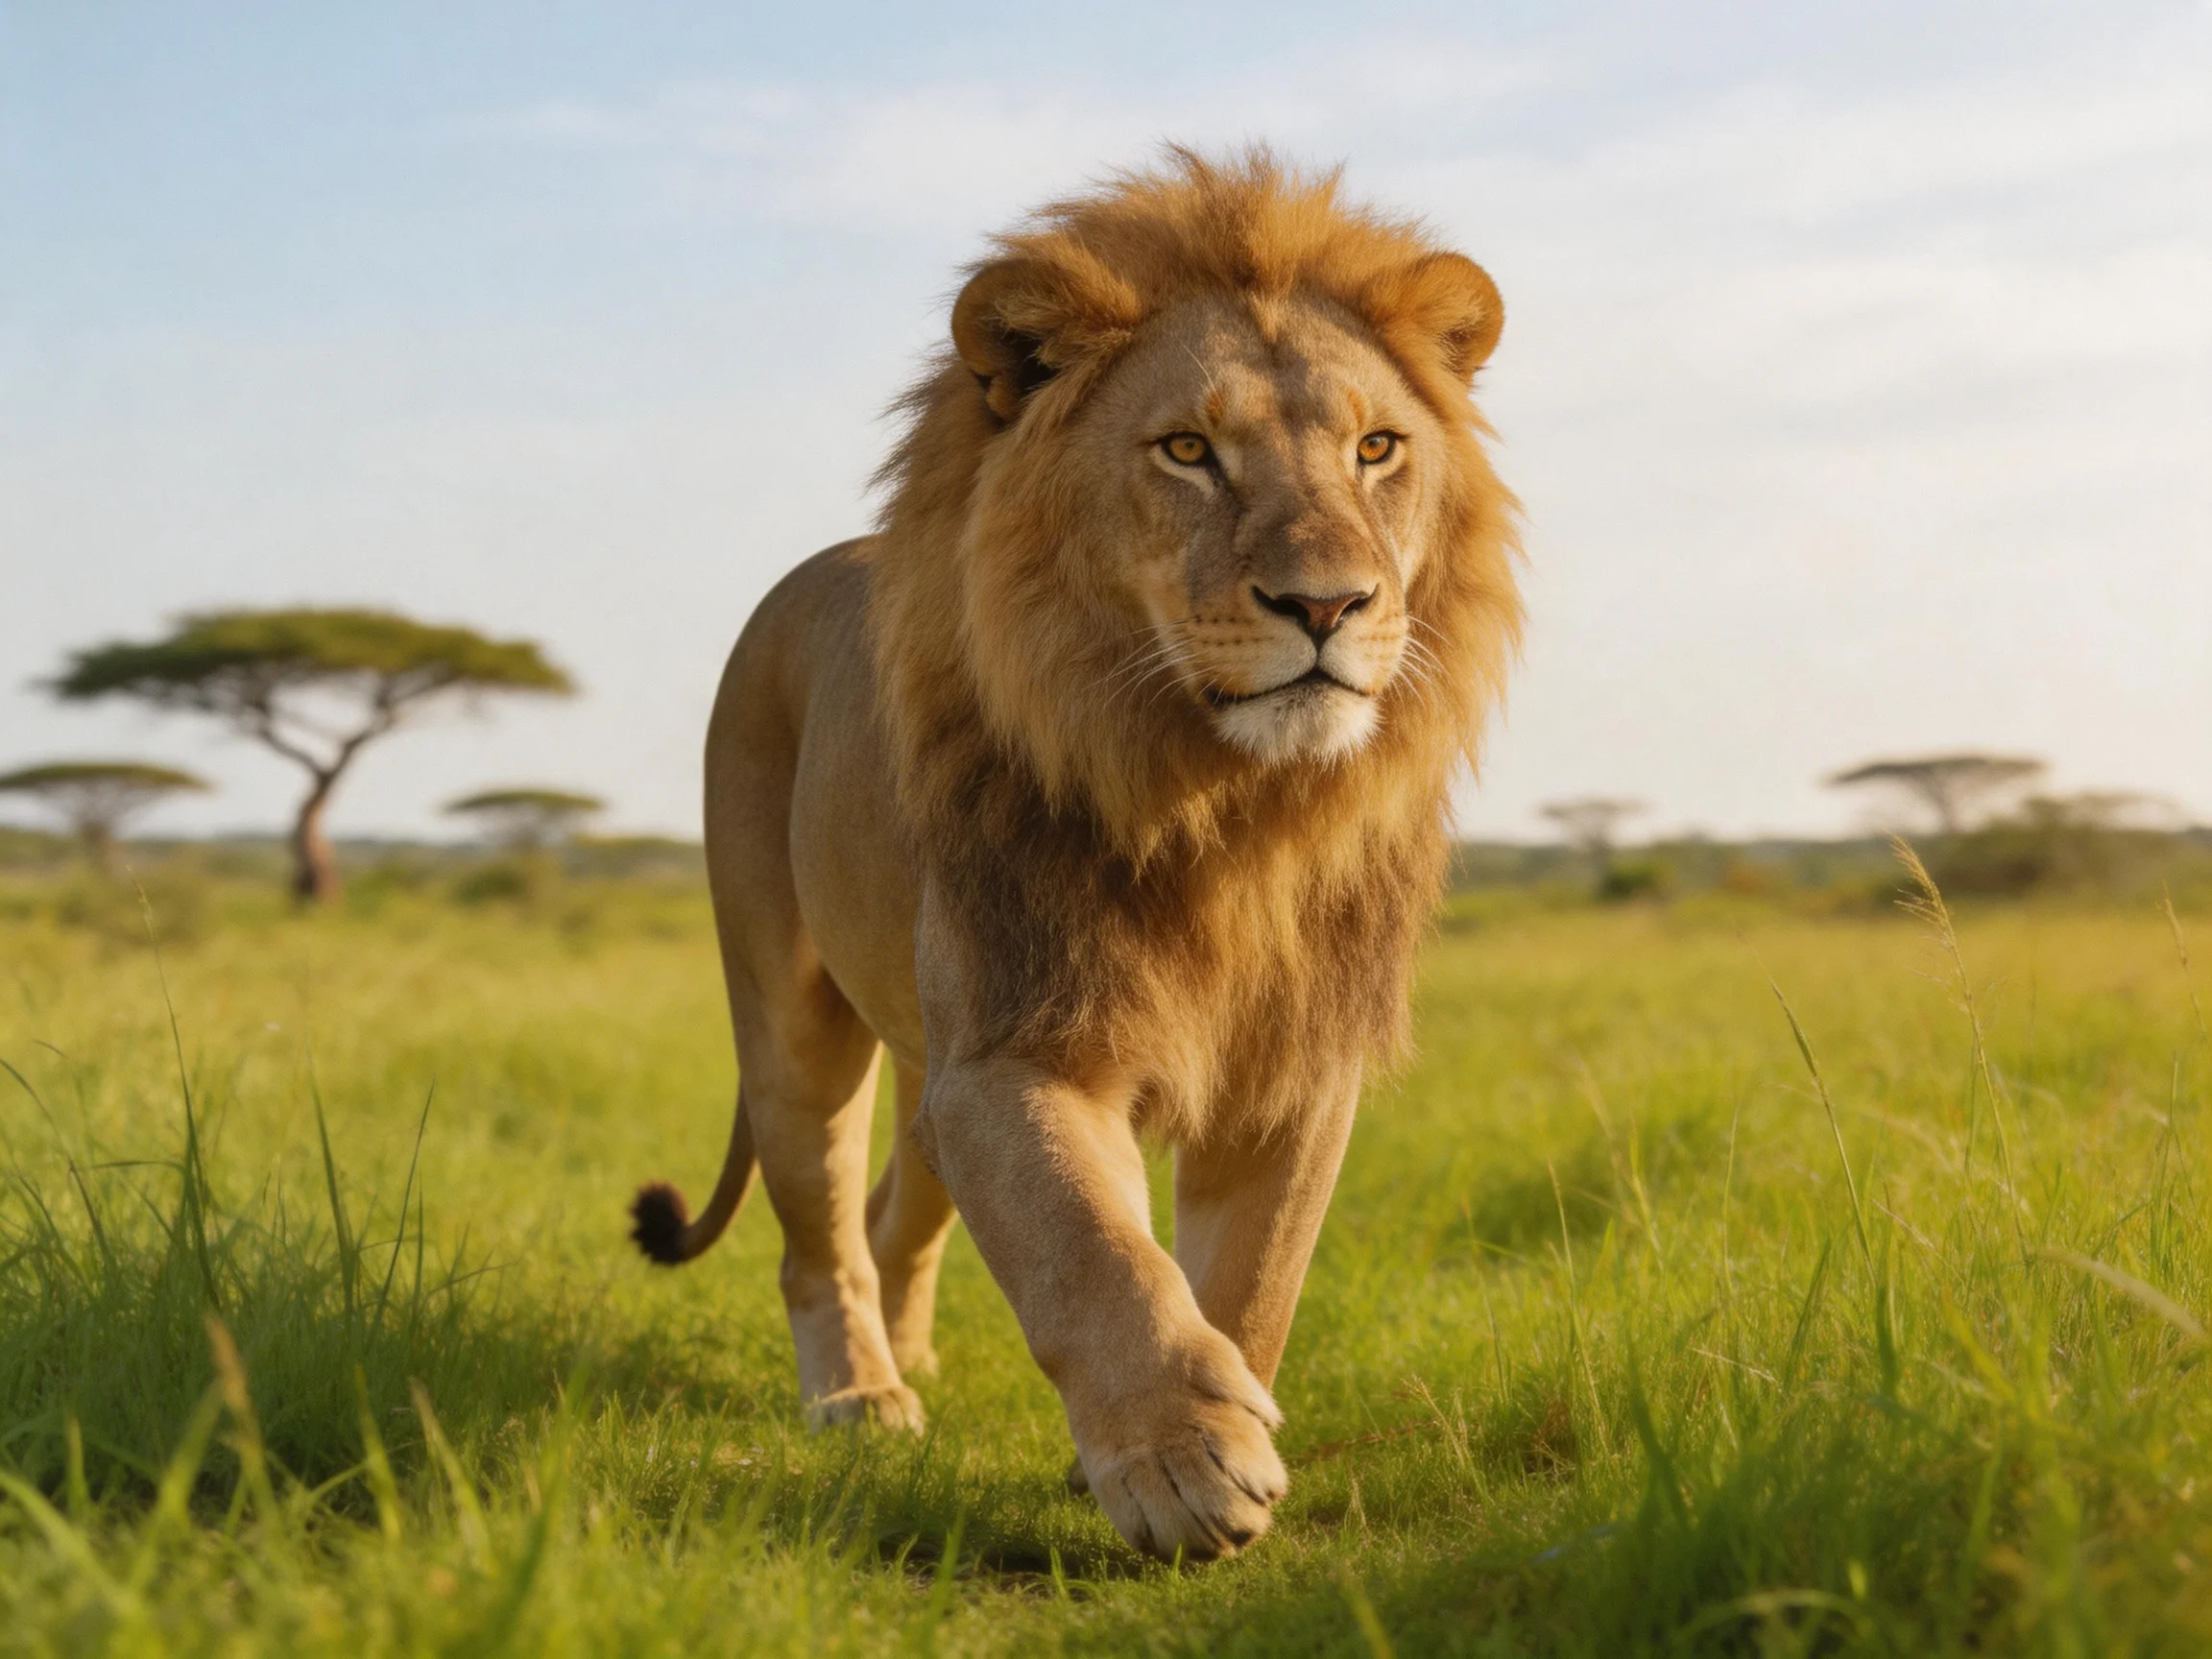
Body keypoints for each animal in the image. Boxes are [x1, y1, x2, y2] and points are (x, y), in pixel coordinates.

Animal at [629, 148, 1523, 1561]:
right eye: (1188, 451)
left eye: (1377, 448)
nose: (1329, 605)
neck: (1225, 806)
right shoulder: (1016, 1048)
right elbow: (1090, 1249)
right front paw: (1182, 1460)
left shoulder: (1296, 1072)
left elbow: (1250, 1283)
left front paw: (1210, 1422)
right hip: (791, 1021)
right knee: (818, 1233)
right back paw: (862, 1397)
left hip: (921, 1066)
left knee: (897, 1212)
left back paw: (913, 1360)